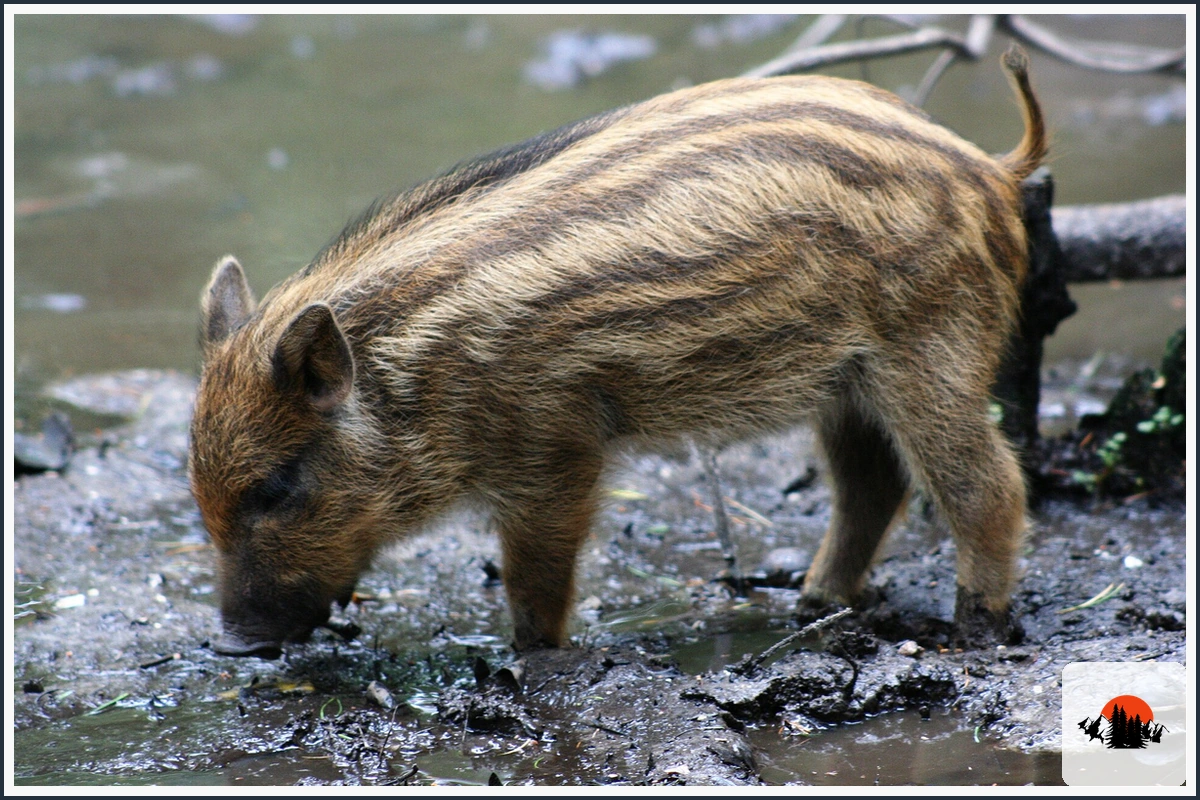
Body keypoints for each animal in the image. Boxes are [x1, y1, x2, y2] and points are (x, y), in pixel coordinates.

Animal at [190, 48, 1045, 658]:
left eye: (276, 487)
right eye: (202, 497)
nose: (232, 645)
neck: (418, 370)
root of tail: (994, 169)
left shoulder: (554, 449)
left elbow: (535, 578)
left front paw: (526, 657)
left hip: (932, 351)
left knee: (988, 486)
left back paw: (975, 628)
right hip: (846, 382)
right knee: (871, 484)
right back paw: (812, 603)